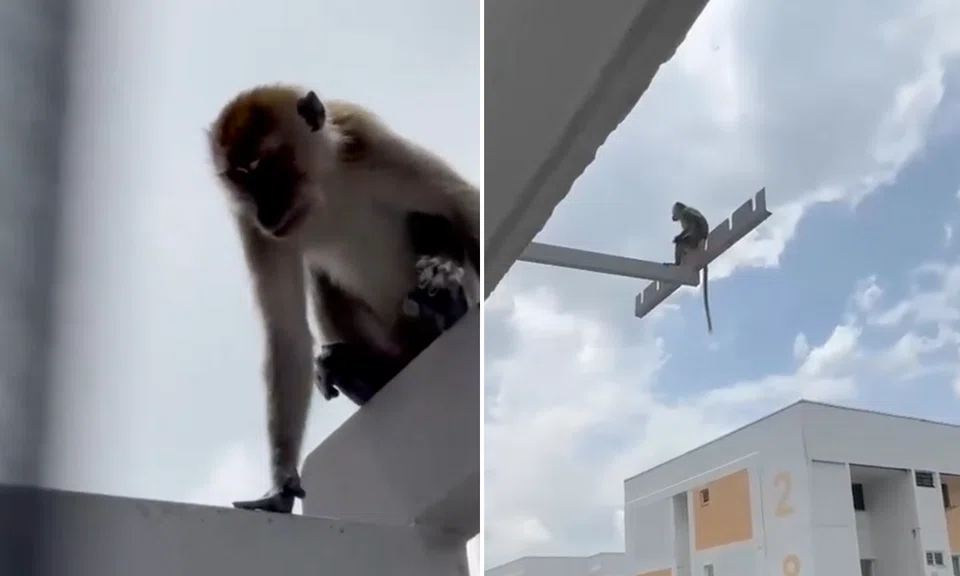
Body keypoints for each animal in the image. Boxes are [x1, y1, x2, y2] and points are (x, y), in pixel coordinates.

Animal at [207, 84, 481, 514]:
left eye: (267, 169)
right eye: (241, 181)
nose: (266, 213)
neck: (323, 191)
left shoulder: (370, 144)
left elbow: (468, 209)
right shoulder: (251, 226)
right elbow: (286, 333)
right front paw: (281, 483)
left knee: (432, 220)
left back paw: (445, 308)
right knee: (323, 281)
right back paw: (364, 375)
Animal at [671, 201, 713, 333]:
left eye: (673, 212)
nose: (672, 217)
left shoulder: (686, 214)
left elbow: (692, 224)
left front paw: (678, 237)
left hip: (693, 241)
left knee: (682, 241)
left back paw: (676, 262)